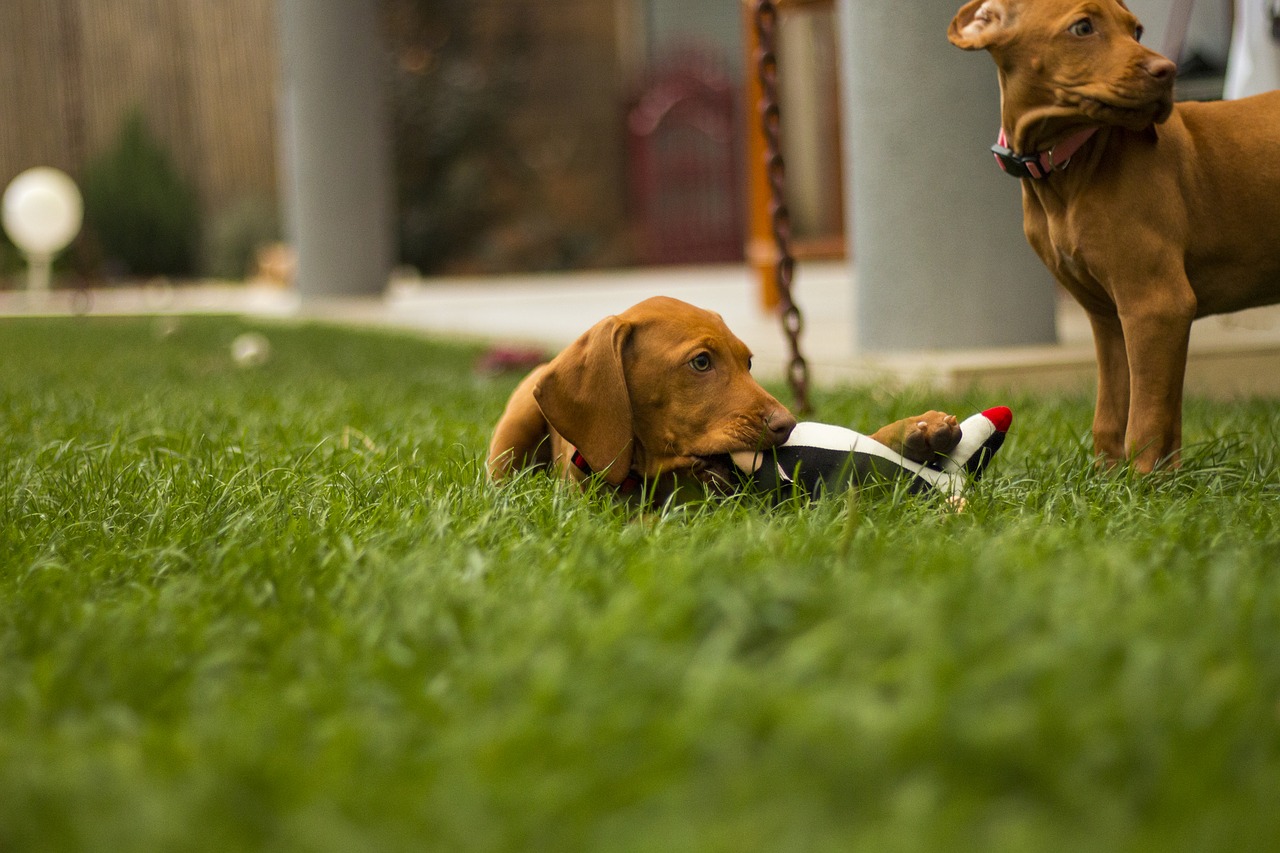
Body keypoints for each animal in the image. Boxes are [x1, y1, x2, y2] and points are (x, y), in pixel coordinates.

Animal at [947, 0, 1280, 468]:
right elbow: (1117, 412)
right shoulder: (1106, 314)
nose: (1168, 70)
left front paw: (1143, 483)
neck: (1066, 171)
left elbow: (1145, 420)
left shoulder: (1157, 305)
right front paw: (1114, 478)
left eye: (1136, 31)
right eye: (1083, 28)